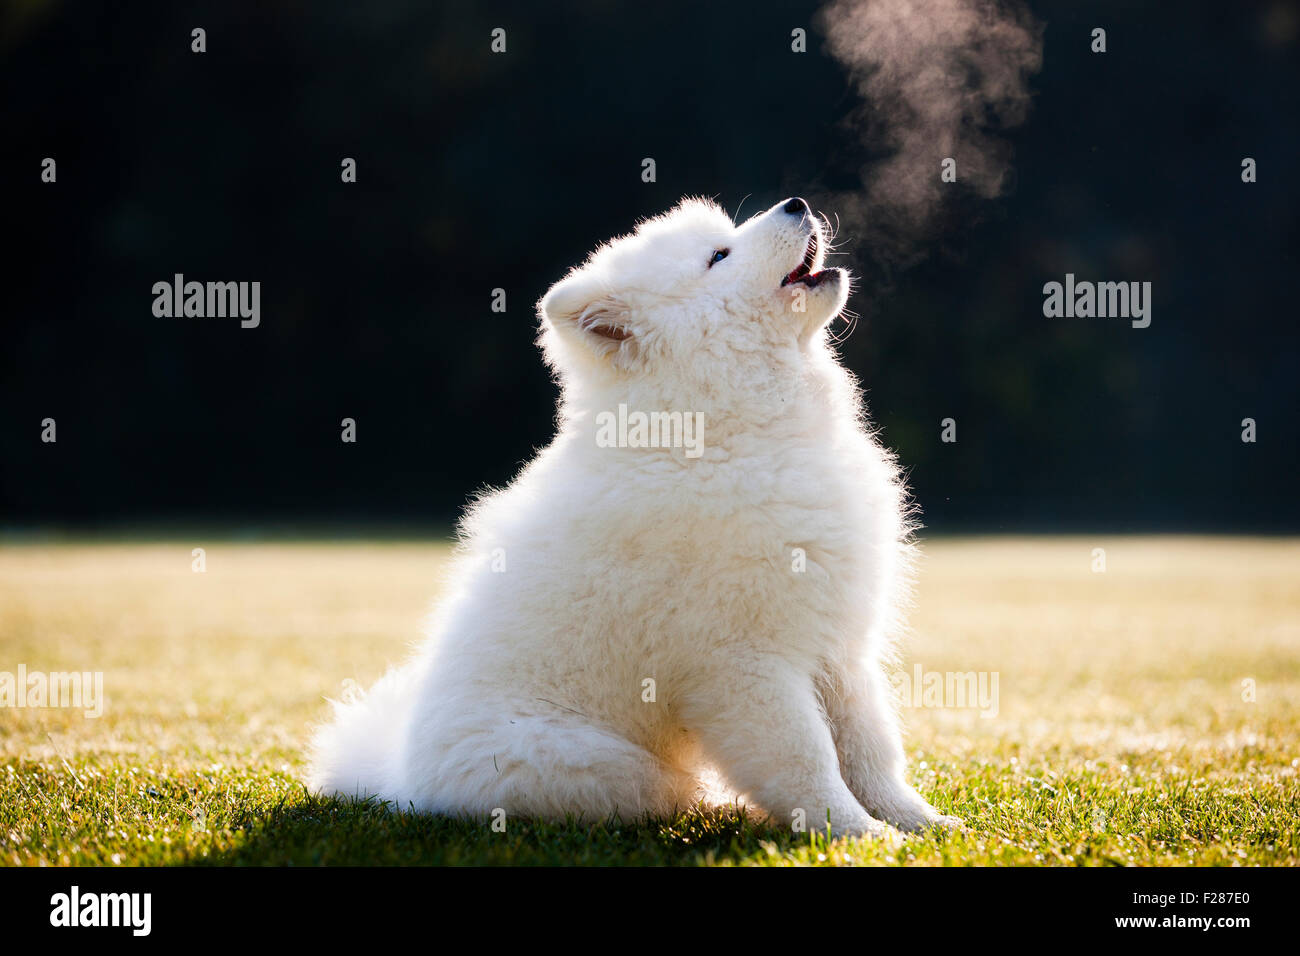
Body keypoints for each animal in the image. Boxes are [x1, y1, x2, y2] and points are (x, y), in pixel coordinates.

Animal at [304, 196, 956, 837]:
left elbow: (870, 749)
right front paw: (859, 834)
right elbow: (808, 759)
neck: (721, 430)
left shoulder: (840, 647)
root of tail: (402, 782)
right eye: (719, 255)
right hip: (604, 765)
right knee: (663, 794)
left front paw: (922, 823)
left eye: (725, 234)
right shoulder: (743, 664)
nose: (797, 202)